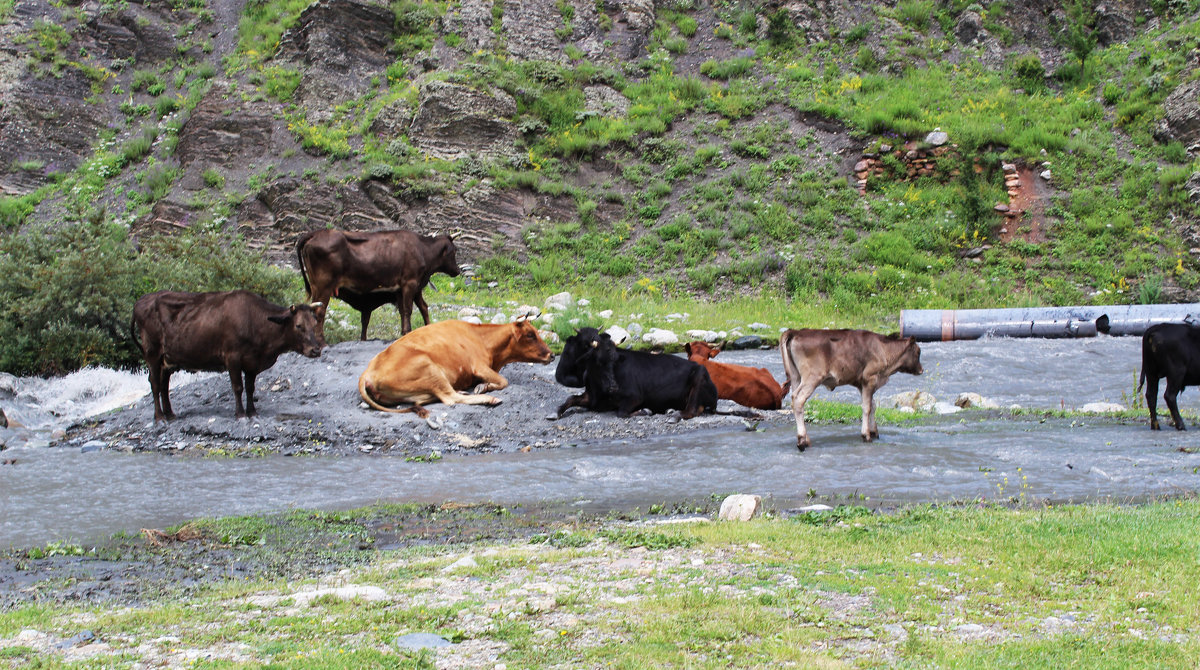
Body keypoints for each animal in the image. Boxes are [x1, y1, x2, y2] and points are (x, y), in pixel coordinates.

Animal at [132, 290, 324, 422]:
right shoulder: (232, 357)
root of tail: (141, 300)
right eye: (298, 325)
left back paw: (170, 414)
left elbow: (250, 388)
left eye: (314, 323)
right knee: (155, 384)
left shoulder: (252, 362)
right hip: (152, 352)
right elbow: (237, 387)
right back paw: (159, 417)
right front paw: (240, 414)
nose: (316, 350)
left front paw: (252, 412)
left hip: (168, 358)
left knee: (164, 385)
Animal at [297, 228, 460, 341]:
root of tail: (315, 233)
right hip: (324, 285)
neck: (422, 249)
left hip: (316, 286)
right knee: (319, 311)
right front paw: (408, 331)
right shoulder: (410, 282)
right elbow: (409, 309)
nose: (457, 271)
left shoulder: (404, 287)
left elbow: (412, 309)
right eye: (454, 251)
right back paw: (322, 341)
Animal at [355, 319, 552, 420]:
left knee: (424, 400)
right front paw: (483, 387)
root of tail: (367, 372)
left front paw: (482, 386)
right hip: (429, 368)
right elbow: (504, 381)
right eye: (530, 335)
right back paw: (489, 399)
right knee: (449, 398)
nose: (552, 355)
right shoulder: (479, 366)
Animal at [554, 328, 715, 422]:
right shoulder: (591, 397)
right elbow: (571, 398)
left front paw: (644, 411)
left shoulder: (635, 397)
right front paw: (556, 412)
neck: (598, 389)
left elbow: (622, 412)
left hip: (699, 376)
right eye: (599, 362)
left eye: (616, 361)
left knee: (692, 410)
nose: (613, 387)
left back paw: (675, 415)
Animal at [777, 328, 926, 451]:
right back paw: (802, 441)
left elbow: (873, 405)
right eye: (918, 352)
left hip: (796, 377)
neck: (883, 349)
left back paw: (807, 440)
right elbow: (867, 407)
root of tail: (796, 331)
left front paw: (874, 432)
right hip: (812, 378)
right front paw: (866, 435)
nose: (921, 370)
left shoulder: (862, 384)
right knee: (798, 399)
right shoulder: (869, 379)